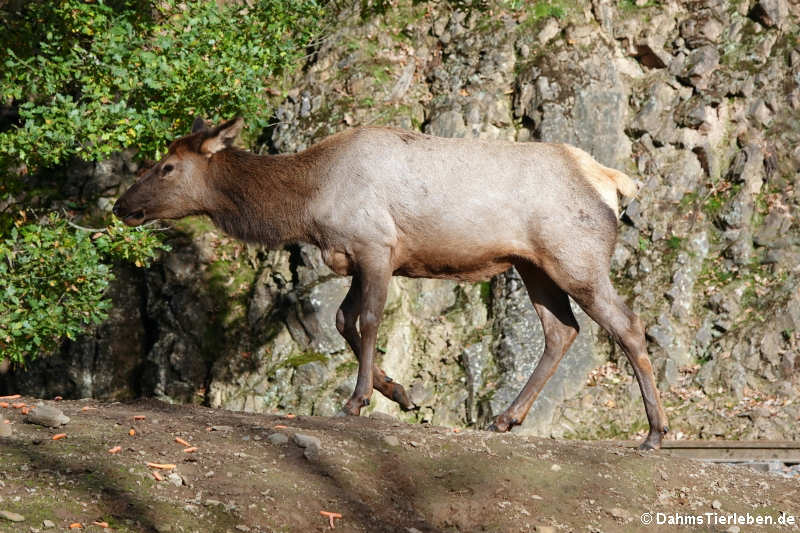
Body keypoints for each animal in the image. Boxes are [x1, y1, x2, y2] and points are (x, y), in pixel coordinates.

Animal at [112, 117, 668, 448]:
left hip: (576, 257)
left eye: (167, 167)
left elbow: (368, 320)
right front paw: (399, 393)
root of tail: (615, 182)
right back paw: (506, 418)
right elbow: (341, 320)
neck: (308, 203)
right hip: (532, 264)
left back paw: (655, 432)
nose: (121, 206)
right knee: (560, 331)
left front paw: (357, 400)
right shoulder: (355, 256)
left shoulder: (376, 245)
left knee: (627, 324)